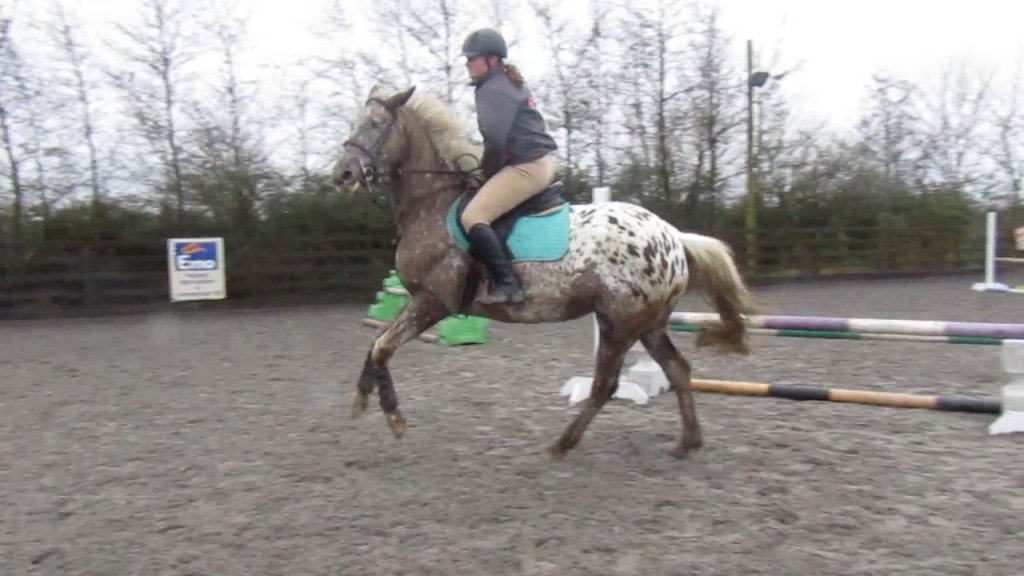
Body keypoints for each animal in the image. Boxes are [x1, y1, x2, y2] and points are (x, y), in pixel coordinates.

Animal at [332, 84, 759, 460]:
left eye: (375, 124)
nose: (343, 175)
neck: (431, 203)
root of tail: (672, 235)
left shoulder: (433, 301)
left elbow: (383, 346)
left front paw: (393, 417)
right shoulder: (421, 301)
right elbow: (376, 344)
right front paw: (361, 398)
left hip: (619, 323)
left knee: (606, 385)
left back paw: (561, 445)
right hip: (647, 323)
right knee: (678, 370)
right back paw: (688, 442)